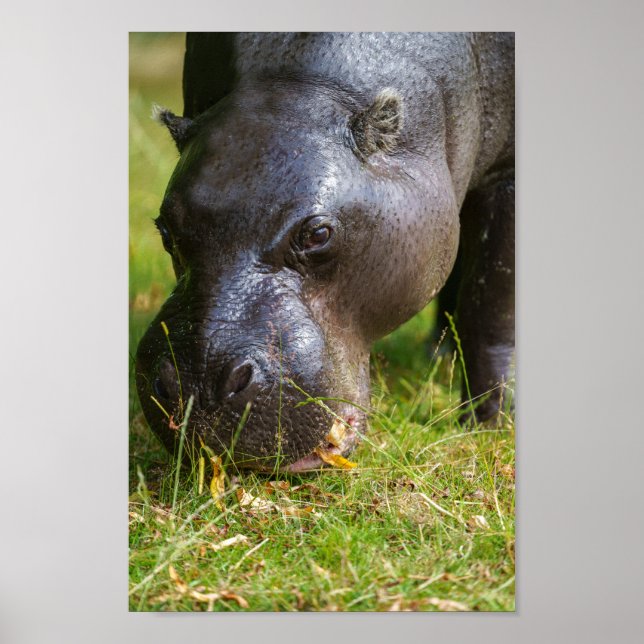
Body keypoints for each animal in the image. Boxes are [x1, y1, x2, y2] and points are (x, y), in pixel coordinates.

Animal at [135, 32, 514, 472]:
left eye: (318, 234)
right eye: (165, 229)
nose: (200, 381)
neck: (297, 83)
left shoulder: (507, 174)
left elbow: (490, 309)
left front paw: (488, 425)